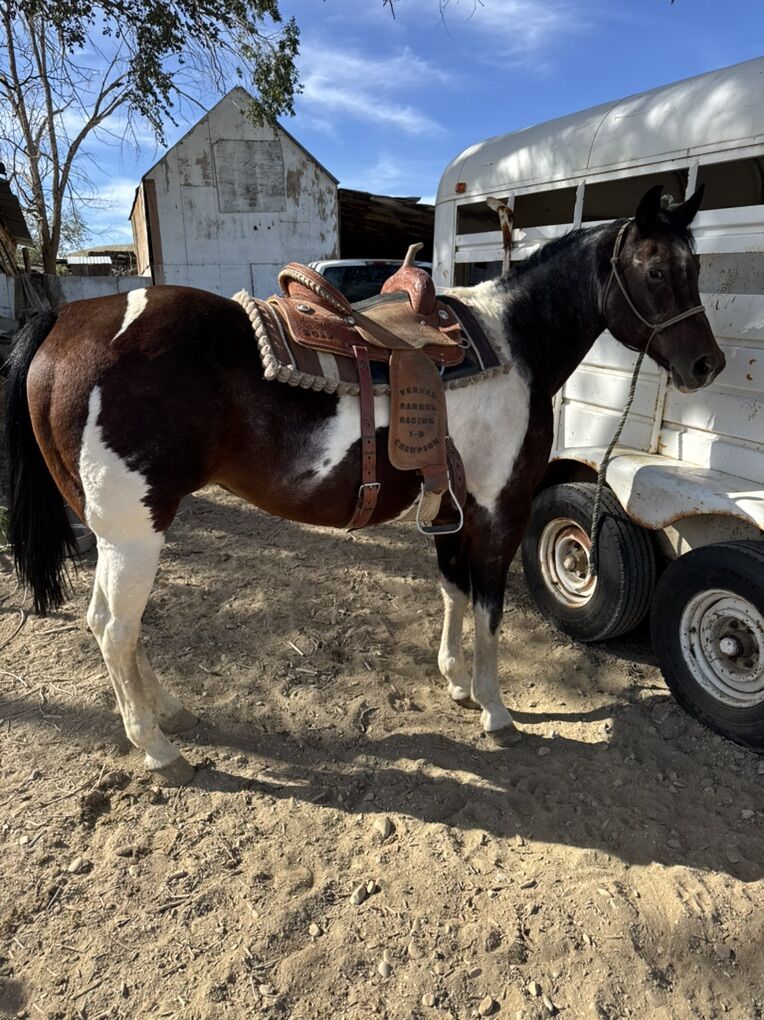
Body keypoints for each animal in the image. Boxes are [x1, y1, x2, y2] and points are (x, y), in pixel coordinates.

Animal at [5, 185, 725, 784]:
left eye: (697, 269)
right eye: (656, 271)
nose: (707, 364)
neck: (513, 343)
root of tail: (65, 322)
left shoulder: (453, 504)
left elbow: (452, 589)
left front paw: (455, 682)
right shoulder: (499, 507)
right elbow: (488, 606)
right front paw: (494, 709)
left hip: (114, 530)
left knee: (114, 625)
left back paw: (170, 713)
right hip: (134, 532)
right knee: (114, 627)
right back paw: (157, 747)